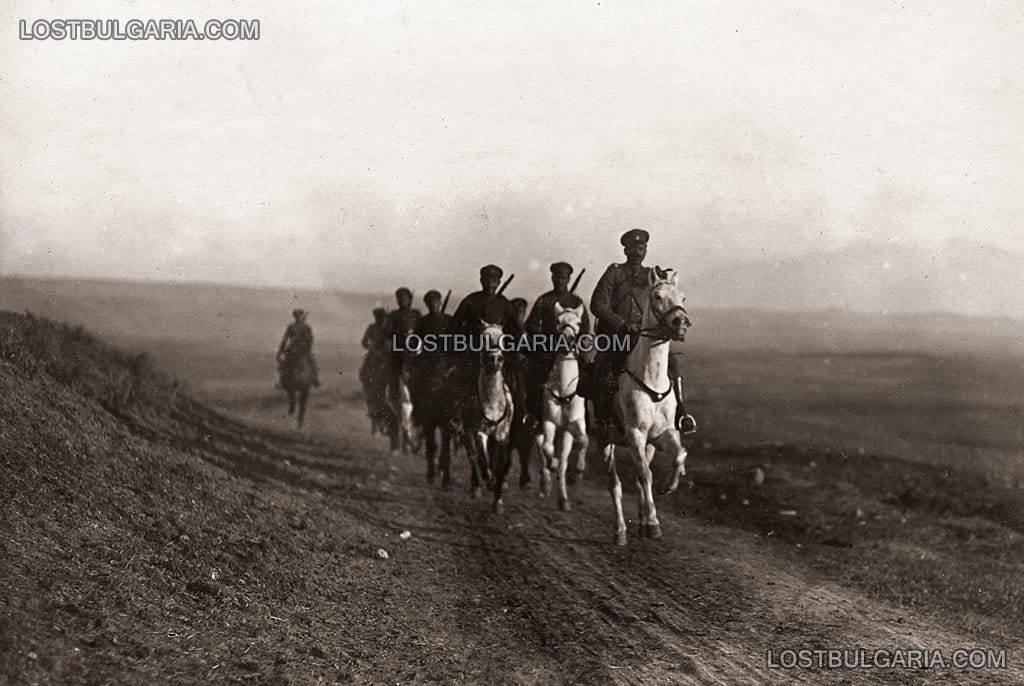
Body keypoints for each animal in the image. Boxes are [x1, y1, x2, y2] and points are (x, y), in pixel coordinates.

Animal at [536, 305, 593, 509]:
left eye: (578, 322)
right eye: (558, 321)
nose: (567, 340)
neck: (563, 388)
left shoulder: (575, 424)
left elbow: (584, 440)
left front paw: (578, 471)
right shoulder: (549, 422)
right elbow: (547, 449)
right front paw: (551, 465)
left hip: (566, 433)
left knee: (564, 461)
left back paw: (563, 499)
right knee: (541, 446)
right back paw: (545, 485)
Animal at [602, 266, 692, 544]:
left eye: (682, 297)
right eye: (658, 296)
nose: (681, 323)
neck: (651, 378)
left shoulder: (664, 433)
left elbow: (680, 455)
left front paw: (668, 486)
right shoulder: (635, 434)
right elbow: (644, 474)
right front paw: (653, 522)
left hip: (648, 444)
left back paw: (640, 521)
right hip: (607, 441)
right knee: (616, 485)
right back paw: (620, 530)